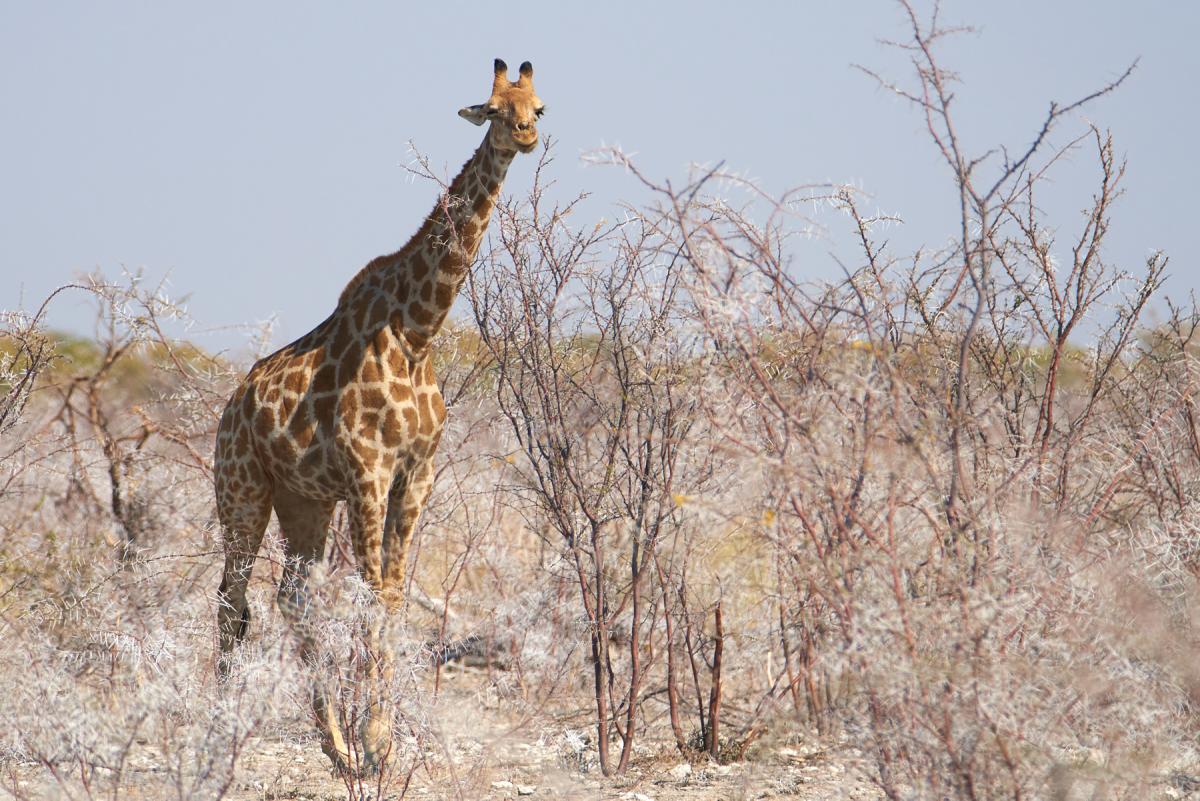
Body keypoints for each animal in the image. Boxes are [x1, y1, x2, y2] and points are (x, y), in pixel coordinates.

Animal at [213, 58, 544, 770]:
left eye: (539, 107)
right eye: (494, 109)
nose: (526, 137)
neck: (418, 332)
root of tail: (230, 409)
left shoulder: (415, 475)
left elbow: (391, 595)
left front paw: (376, 744)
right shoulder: (369, 473)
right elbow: (370, 596)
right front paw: (377, 741)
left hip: (303, 502)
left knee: (291, 598)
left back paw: (332, 744)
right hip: (242, 492)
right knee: (232, 601)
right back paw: (220, 734)